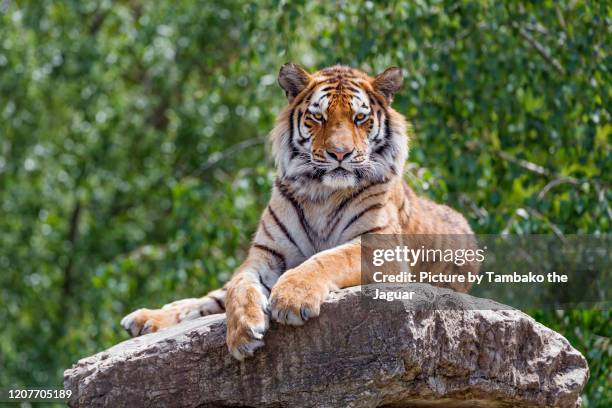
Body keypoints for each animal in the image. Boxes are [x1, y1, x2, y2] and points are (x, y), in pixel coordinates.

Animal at [122, 63, 476, 360]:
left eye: (360, 118)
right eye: (318, 118)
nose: (340, 154)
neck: (322, 193)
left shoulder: (379, 246)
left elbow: (326, 259)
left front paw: (291, 299)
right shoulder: (265, 254)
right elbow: (239, 285)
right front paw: (242, 332)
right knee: (208, 299)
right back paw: (144, 319)